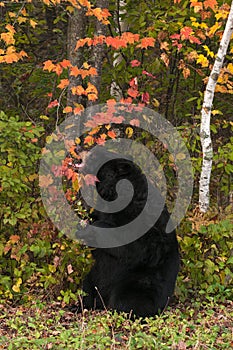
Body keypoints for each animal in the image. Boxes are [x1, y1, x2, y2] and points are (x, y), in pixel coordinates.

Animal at [81, 148, 179, 318]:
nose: (83, 152)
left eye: (96, 155)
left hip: (140, 281)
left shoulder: (141, 217)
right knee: (87, 289)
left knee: (129, 298)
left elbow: (136, 245)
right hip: (94, 276)